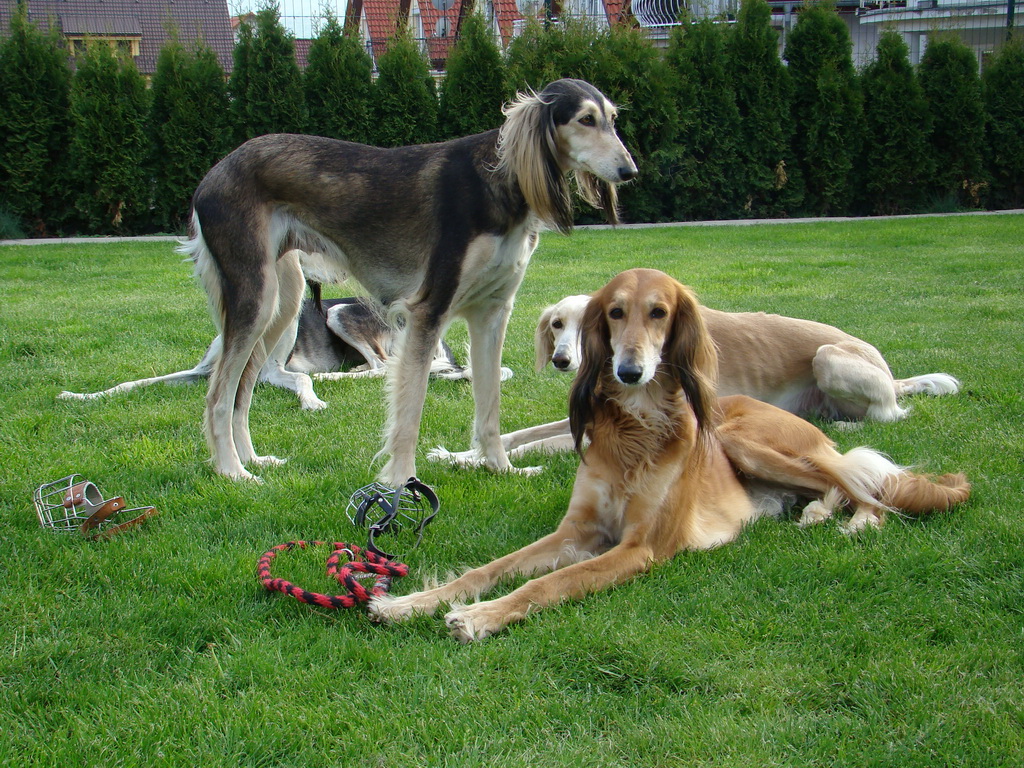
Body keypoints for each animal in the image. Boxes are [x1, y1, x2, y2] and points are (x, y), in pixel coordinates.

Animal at [180, 81, 634, 483]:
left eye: (612, 119)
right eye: (585, 119)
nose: (630, 170)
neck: (499, 181)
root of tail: (214, 173)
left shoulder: (492, 313)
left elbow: (489, 406)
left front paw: (501, 469)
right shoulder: (428, 310)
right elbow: (410, 411)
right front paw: (401, 484)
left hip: (281, 303)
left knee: (243, 390)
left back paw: (251, 459)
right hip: (254, 297)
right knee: (218, 395)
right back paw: (232, 472)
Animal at [374, 270, 966, 643]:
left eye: (657, 314)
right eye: (559, 324)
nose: (566, 360)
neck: (634, 430)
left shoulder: (639, 548)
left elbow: (548, 583)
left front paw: (478, 618)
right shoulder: (575, 528)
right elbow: (492, 560)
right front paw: (412, 601)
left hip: (761, 422)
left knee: (865, 478)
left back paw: (854, 515)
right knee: (837, 483)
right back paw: (817, 511)